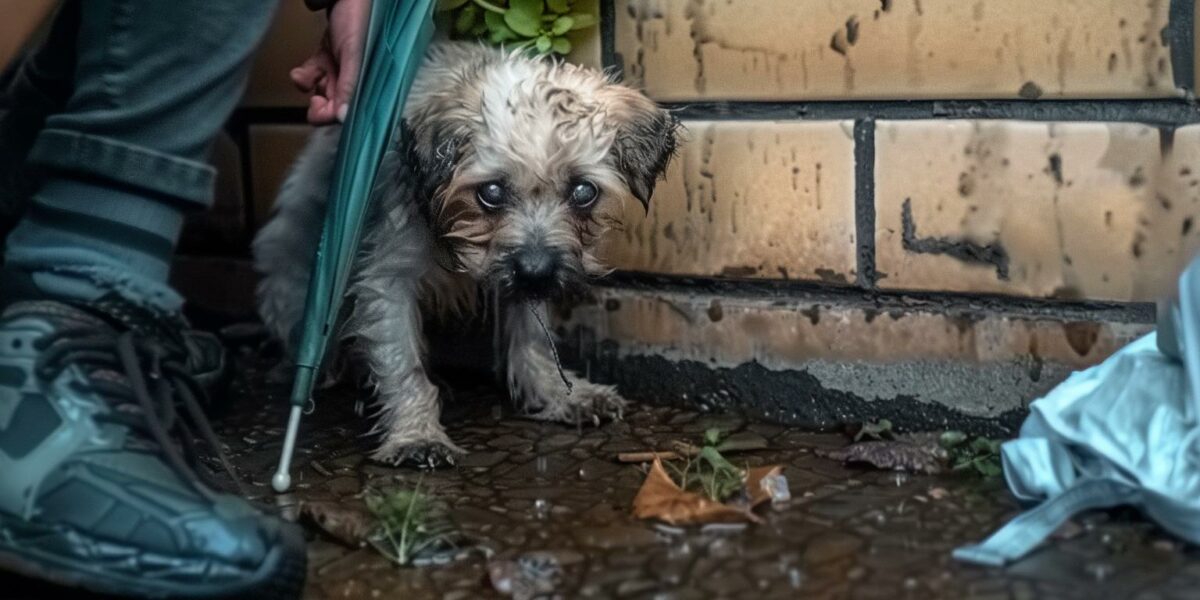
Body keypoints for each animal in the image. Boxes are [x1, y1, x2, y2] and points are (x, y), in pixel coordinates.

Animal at [250, 43, 676, 468]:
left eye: (583, 191)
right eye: (491, 192)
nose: (537, 272)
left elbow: (533, 339)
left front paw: (558, 393)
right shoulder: (387, 279)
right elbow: (402, 364)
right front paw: (416, 435)